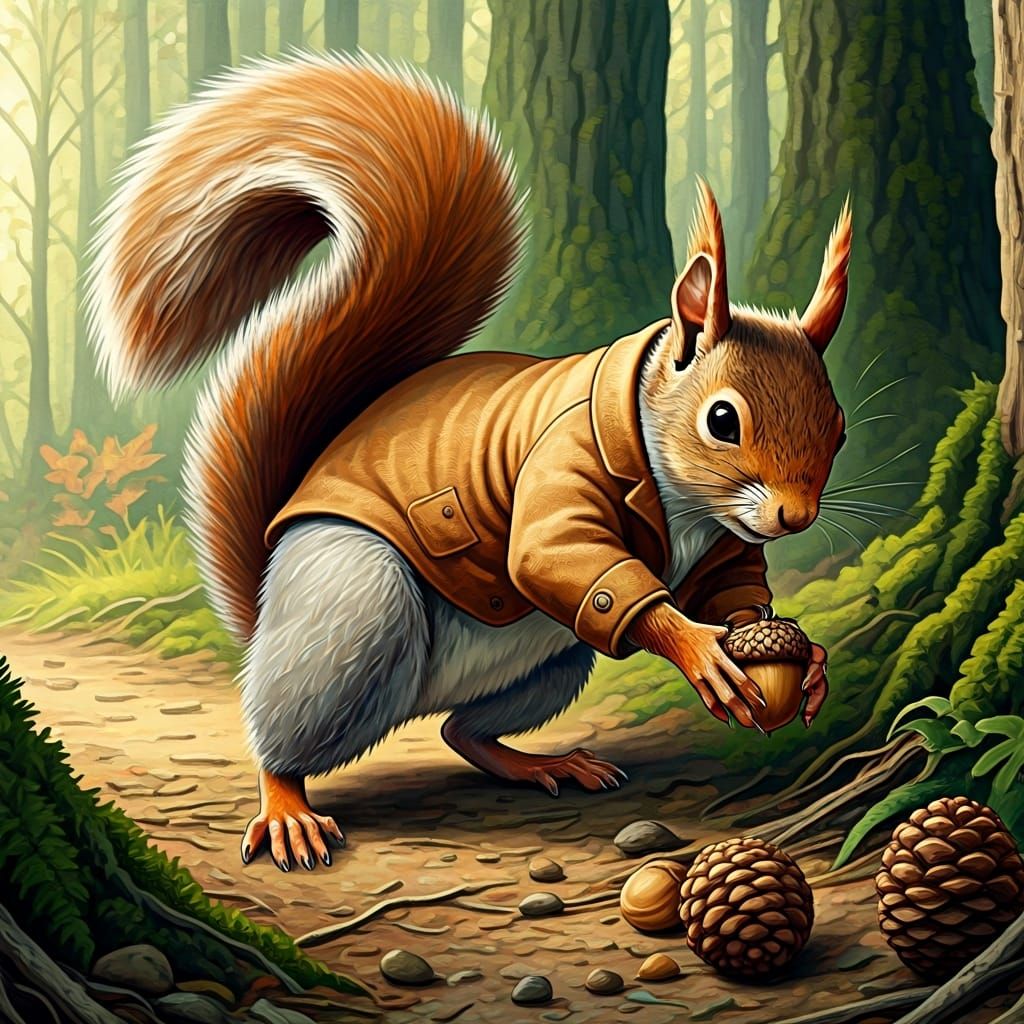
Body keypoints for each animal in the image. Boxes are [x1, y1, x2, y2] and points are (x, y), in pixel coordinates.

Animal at [88, 54, 850, 872]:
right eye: (721, 419)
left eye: (838, 428)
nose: (795, 516)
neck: (680, 504)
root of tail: (266, 599)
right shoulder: (560, 456)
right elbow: (553, 555)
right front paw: (698, 649)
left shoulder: (723, 542)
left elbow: (733, 586)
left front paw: (802, 661)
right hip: (354, 611)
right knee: (284, 732)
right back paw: (287, 804)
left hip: (555, 659)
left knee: (461, 728)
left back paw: (542, 762)